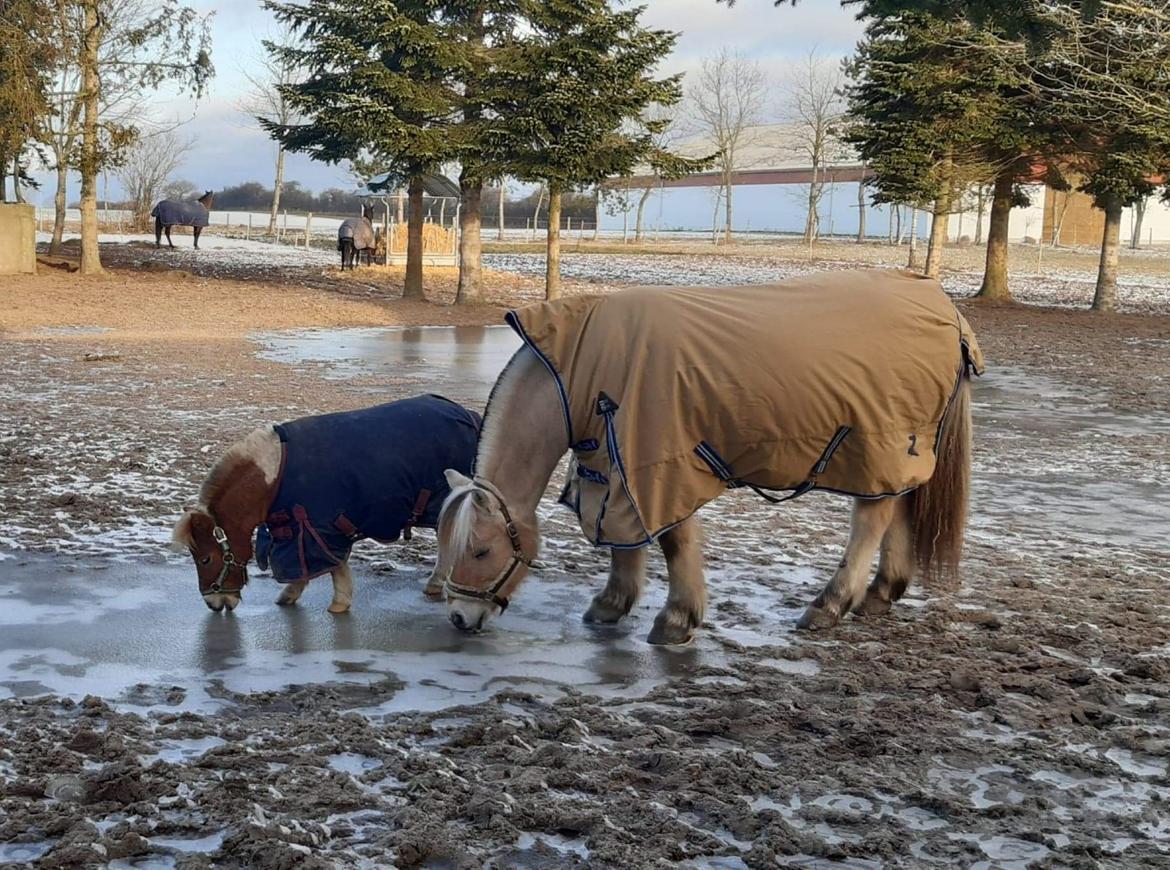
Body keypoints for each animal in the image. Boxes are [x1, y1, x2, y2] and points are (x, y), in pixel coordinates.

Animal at [171, 395, 479, 612]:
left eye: (206, 558)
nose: (214, 604)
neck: (273, 477)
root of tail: (468, 416)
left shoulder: (317, 529)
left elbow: (332, 567)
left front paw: (338, 605)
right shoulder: (297, 531)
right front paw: (289, 597)